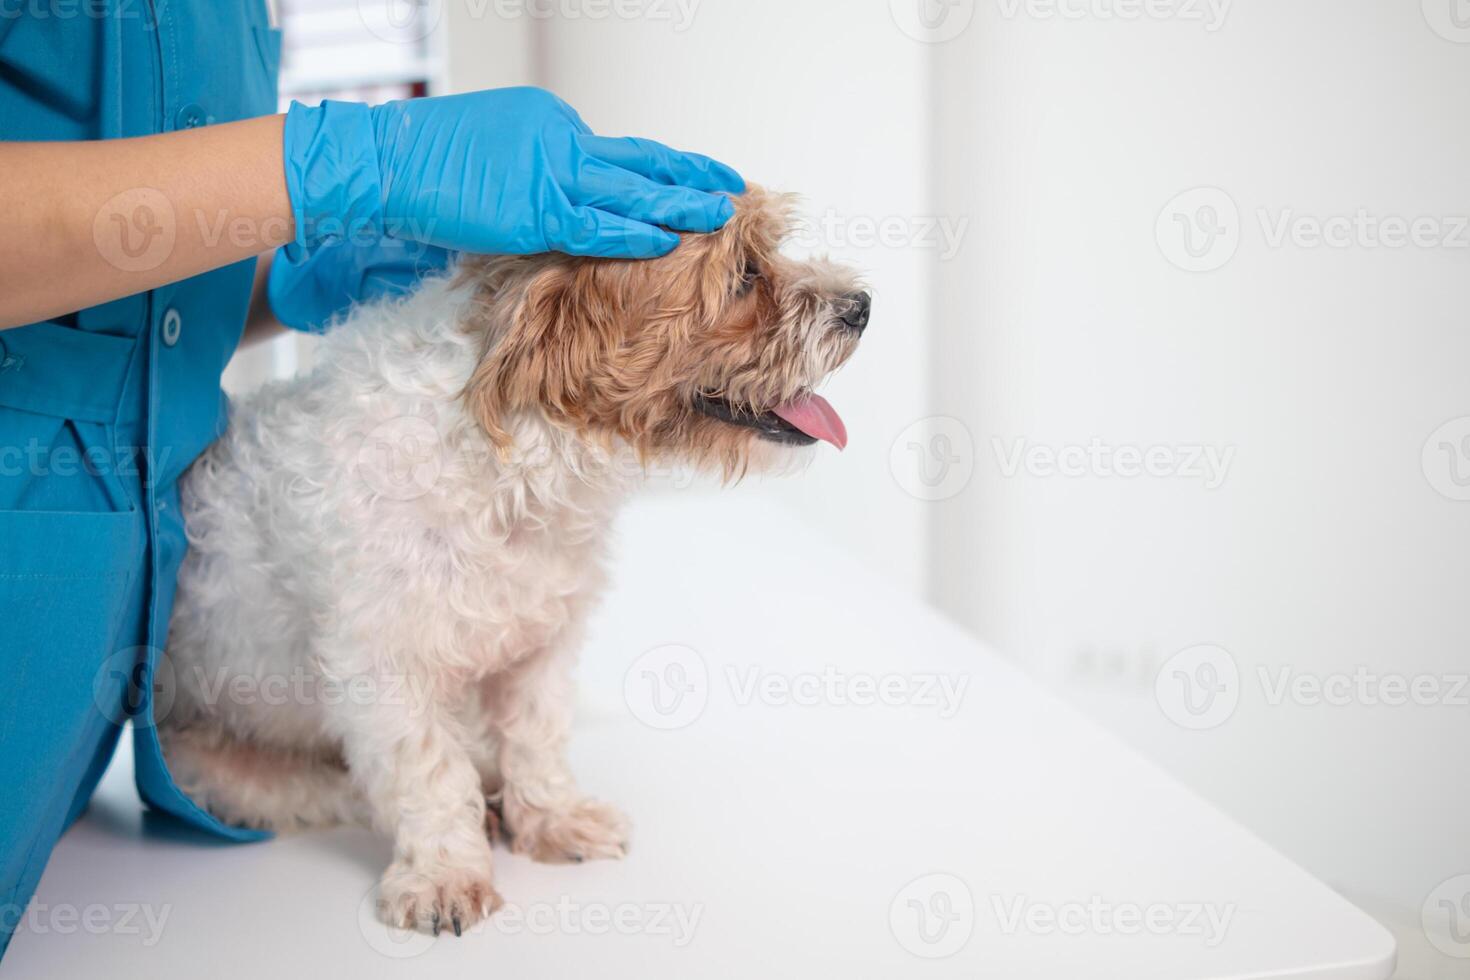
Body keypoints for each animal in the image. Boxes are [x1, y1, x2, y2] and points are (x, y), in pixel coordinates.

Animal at [159, 189, 864, 934]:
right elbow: (429, 774)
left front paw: (554, 820)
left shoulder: (541, 645)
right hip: (211, 766)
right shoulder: (384, 669)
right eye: (743, 276)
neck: (516, 475)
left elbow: (537, 738)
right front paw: (444, 875)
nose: (862, 305)